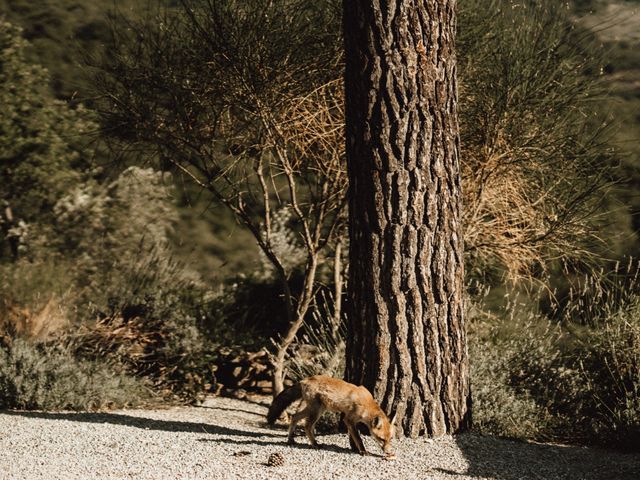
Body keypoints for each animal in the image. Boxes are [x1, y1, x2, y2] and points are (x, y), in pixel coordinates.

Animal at [266, 376, 396, 458]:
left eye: (390, 439)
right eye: (381, 439)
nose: (388, 452)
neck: (366, 403)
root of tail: (305, 379)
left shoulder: (350, 421)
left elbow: (352, 436)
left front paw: (354, 448)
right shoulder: (348, 419)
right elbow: (358, 438)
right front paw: (363, 451)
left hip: (316, 409)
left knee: (294, 417)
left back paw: (290, 439)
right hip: (316, 411)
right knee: (307, 426)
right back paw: (315, 444)